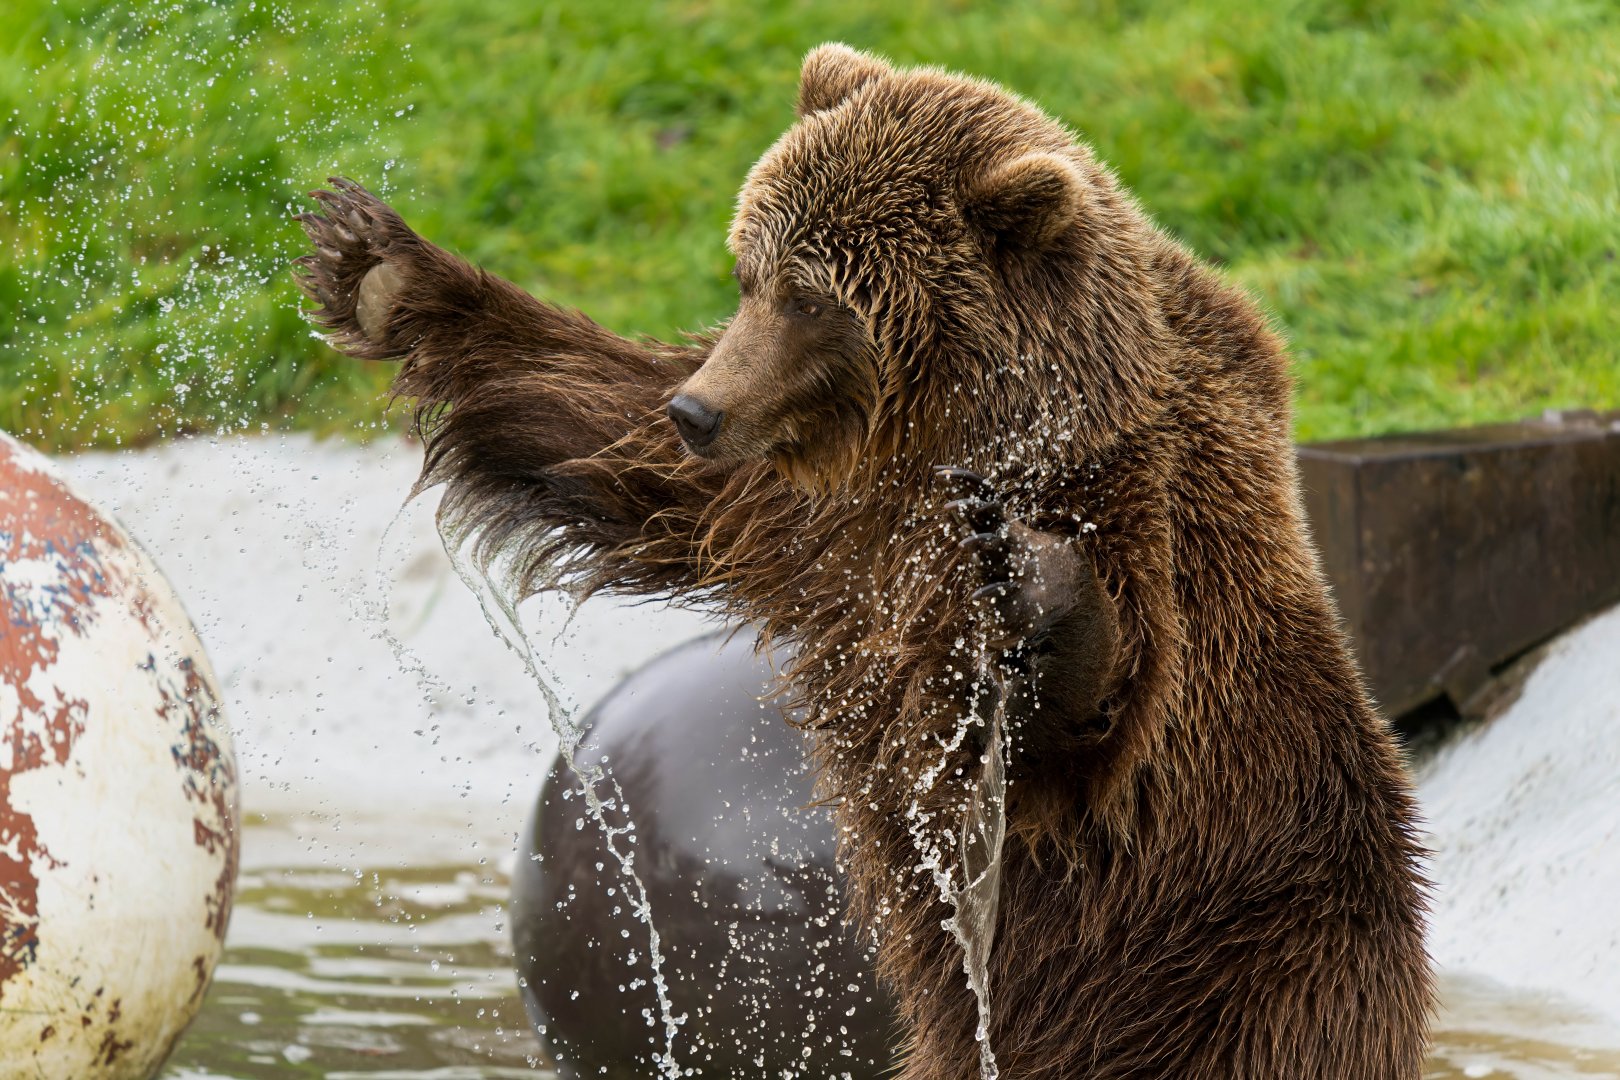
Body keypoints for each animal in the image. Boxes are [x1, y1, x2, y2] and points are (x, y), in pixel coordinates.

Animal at [294, 44, 1432, 1079]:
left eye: (815, 298)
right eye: (750, 274)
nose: (700, 411)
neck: (959, 431)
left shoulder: (1150, 524)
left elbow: (1081, 734)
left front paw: (1040, 589)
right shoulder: (814, 511)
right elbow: (595, 417)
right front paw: (377, 264)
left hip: (1224, 970)